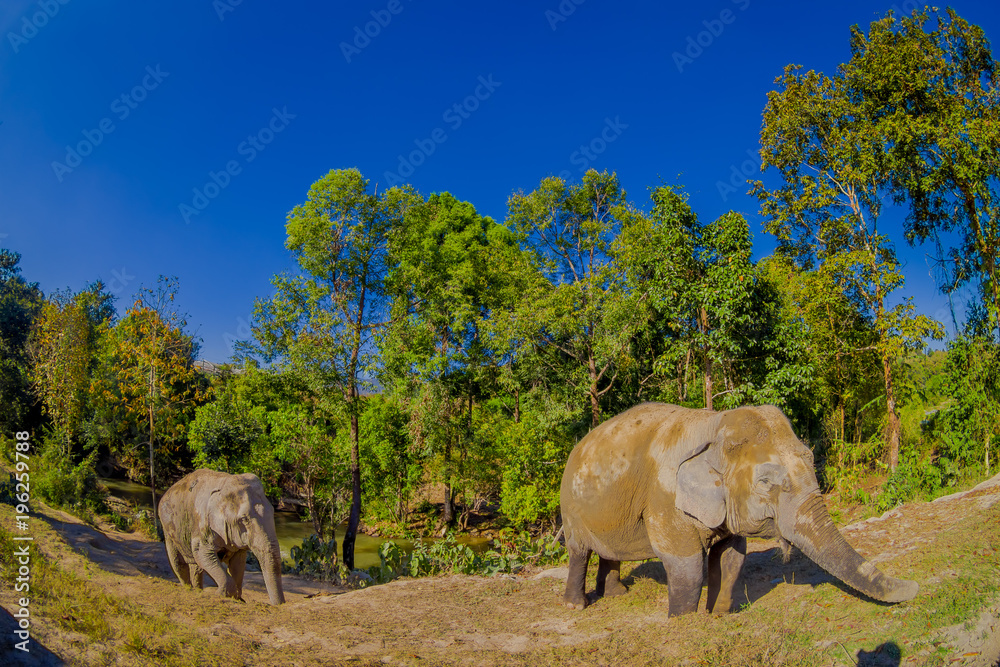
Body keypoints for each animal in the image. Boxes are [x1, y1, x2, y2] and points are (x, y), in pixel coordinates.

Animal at [158, 469, 285, 606]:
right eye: (244, 519)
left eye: (273, 511)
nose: (279, 605)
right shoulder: (203, 526)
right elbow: (202, 554)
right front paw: (220, 593)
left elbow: (238, 563)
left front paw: (238, 598)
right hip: (168, 529)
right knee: (178, 562)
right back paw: (187, 589)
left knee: (196, 567)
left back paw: (198, 591)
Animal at [560, 403, 918, 616]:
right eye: (765, 482)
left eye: (811, 458)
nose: (916, 588)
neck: (714, 423)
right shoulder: (663, 497)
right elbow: (686, 563)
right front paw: (682, 621)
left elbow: (731, 557)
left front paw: (717, 615)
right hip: (571, 506)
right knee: (579, 551)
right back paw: (577, 606)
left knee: (608, 551)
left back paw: (616, 594)